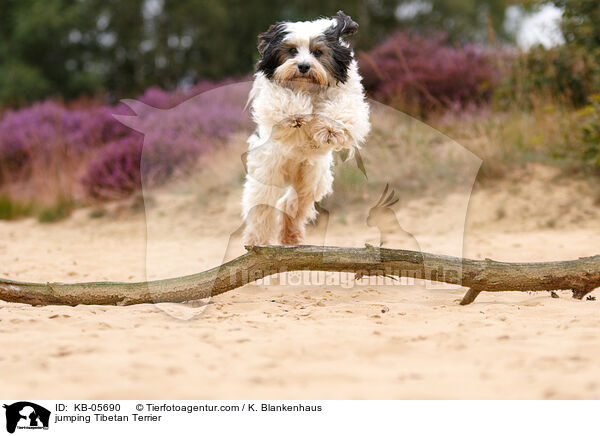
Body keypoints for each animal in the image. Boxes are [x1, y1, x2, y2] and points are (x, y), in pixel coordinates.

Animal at [241, 11, 368, 245]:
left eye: (318, 52)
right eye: (292, 50)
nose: (303, 66)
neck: (308, 88)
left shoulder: (348, 98)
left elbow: (344, 110)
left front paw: (329, 130)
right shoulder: (273, 97)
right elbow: (284, 101)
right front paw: (297, 115)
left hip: (311, 181)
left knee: (292, 204)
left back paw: (290, 236)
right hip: (267, 175)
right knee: (262, 210)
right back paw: (256, 241)